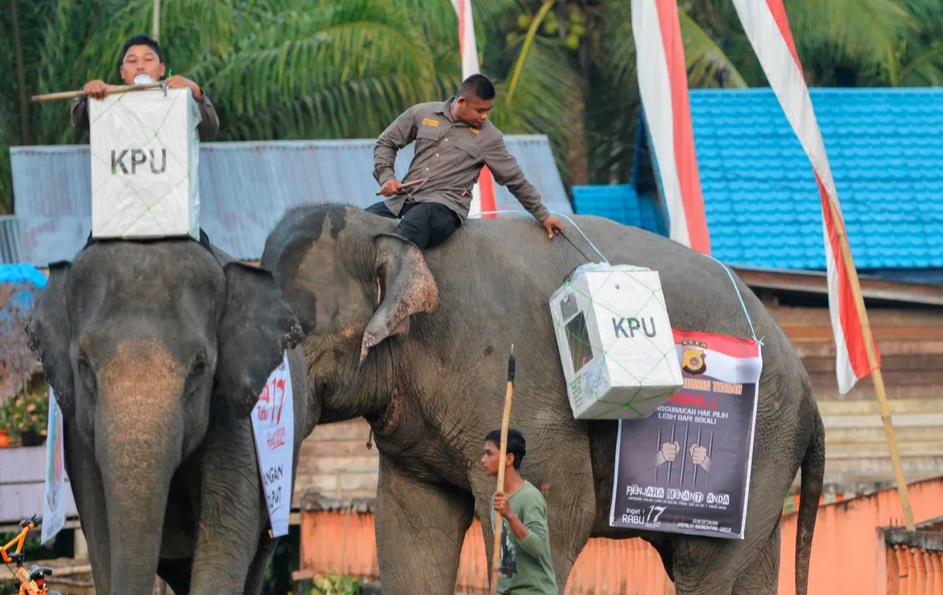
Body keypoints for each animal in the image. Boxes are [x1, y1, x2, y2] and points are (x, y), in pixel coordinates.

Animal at [26, 241, 318, 595]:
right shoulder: (76, 433)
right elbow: (100, 535)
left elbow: (224, 532)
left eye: (199, 367)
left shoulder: (236, 417)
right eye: (84, 365)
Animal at [262, 205, 824, 595]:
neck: (389, 229)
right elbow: (409, 528)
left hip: (759, 445)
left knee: (700, 563)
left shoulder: (510, 380)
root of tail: (808, 386)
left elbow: (561, 509)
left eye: (295, 335)